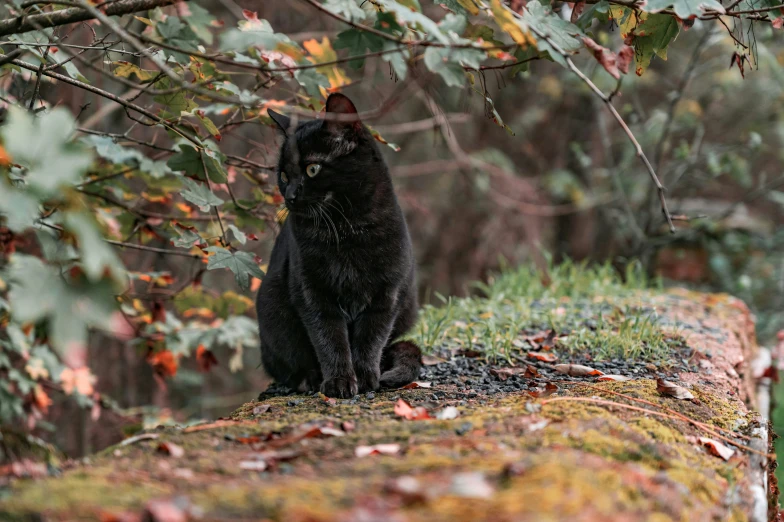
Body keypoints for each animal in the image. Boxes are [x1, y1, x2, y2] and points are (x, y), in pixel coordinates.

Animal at [258, 93, 420, 396]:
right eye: (283, 175)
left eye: (312, 168)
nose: (290, 195)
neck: (347, 230)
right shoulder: (313, 293)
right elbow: (329, 340)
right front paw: (339, 382)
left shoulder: (387, 294)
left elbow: (370, 339)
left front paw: (365, 378)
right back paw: (310, 379)